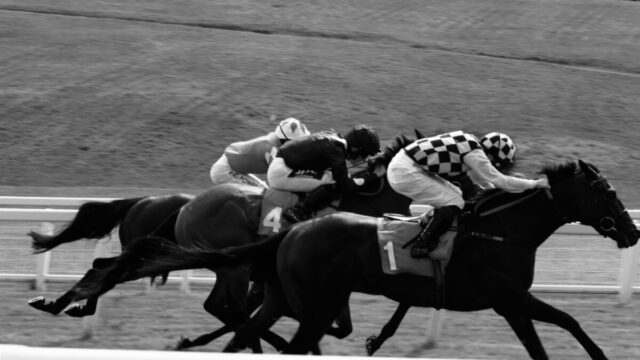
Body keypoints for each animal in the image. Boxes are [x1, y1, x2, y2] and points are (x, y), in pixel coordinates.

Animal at [109, 160, 636, 358]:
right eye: (607, 193)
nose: (632, 231)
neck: (500, 231)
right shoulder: (509, 299)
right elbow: (560, 327)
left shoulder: (507, 302)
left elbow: (557, 330)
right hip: (270, 283)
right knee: (238, 314)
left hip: (274, 286)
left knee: (243, 319)